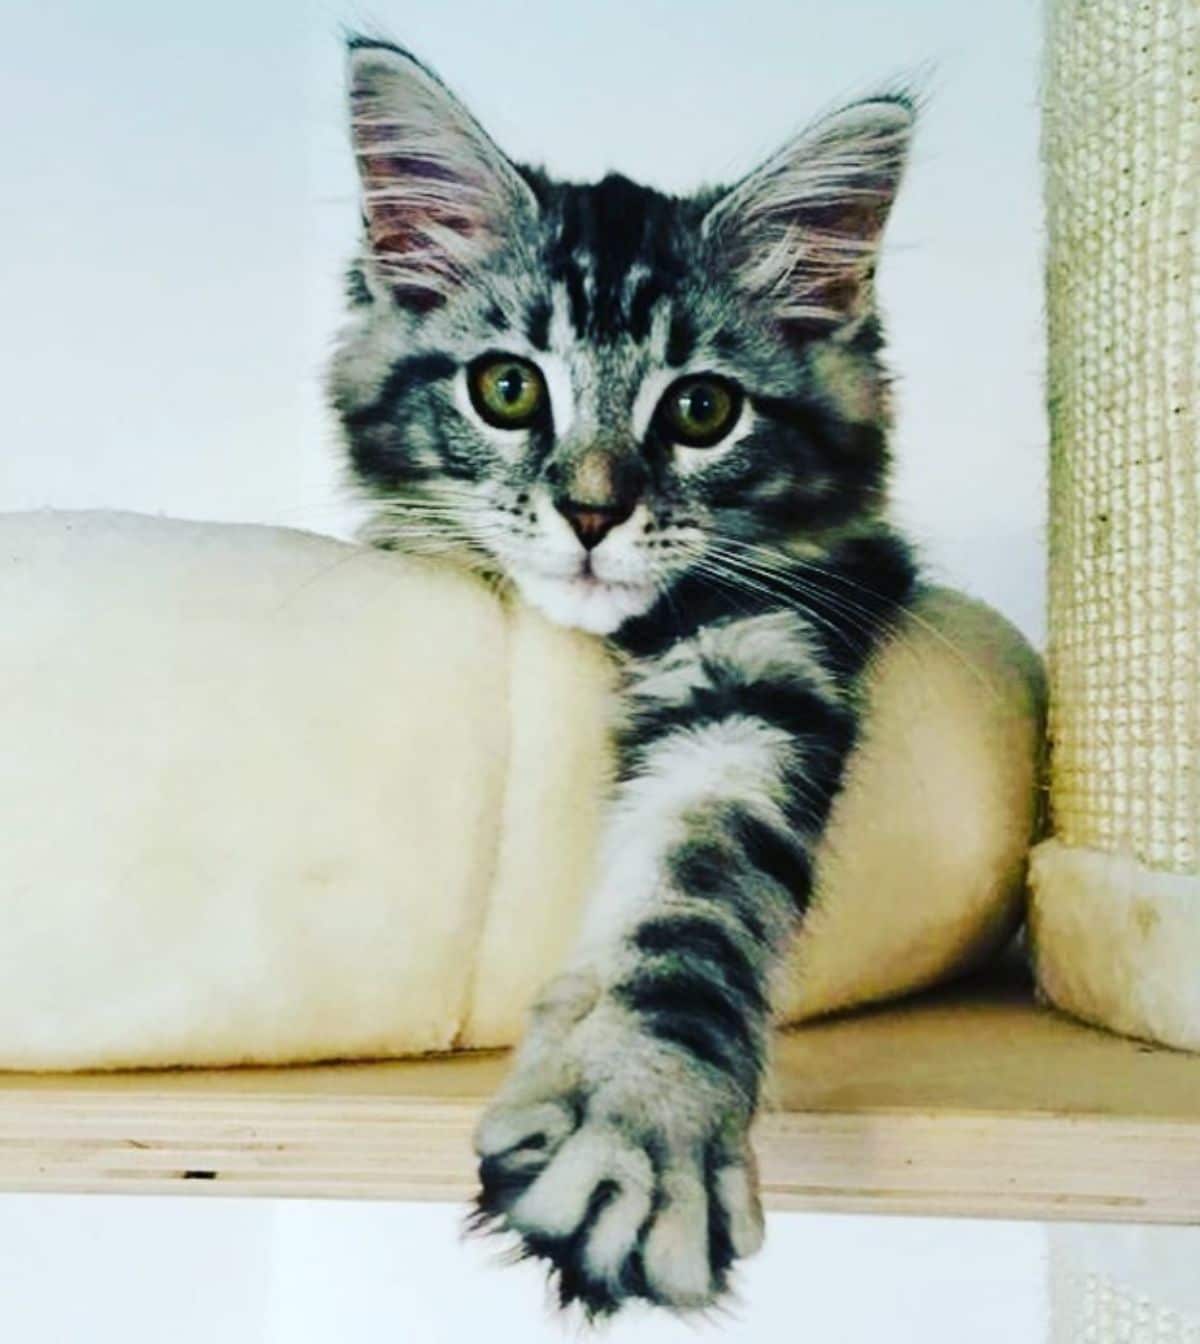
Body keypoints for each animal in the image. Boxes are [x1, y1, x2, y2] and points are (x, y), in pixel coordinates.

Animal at [327, 36, 919, 1317]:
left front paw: (644, 1125)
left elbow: (699, 895)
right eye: (506, 389)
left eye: (702, 408)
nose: (594, 512)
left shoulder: (766, 656)